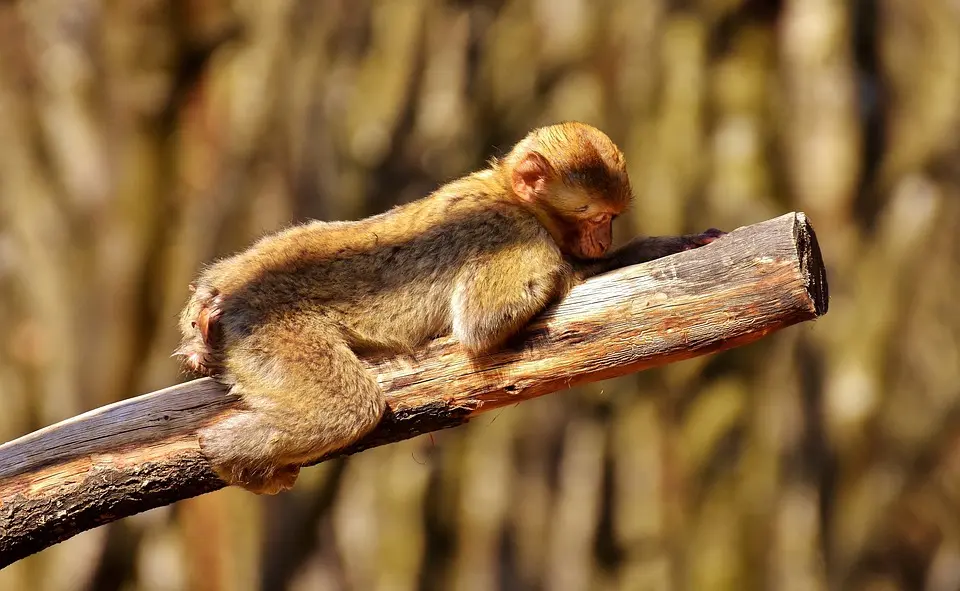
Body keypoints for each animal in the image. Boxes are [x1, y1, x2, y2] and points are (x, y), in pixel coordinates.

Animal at [176, 121, 724, 494]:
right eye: (593, 215)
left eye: (612, 217)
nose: (603, 238)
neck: (509, 195)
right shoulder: (513, 234)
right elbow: (484, 322)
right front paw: (578, 269)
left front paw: (666, 244)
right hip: (270, 330)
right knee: (348, 408)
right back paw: (223, 450)